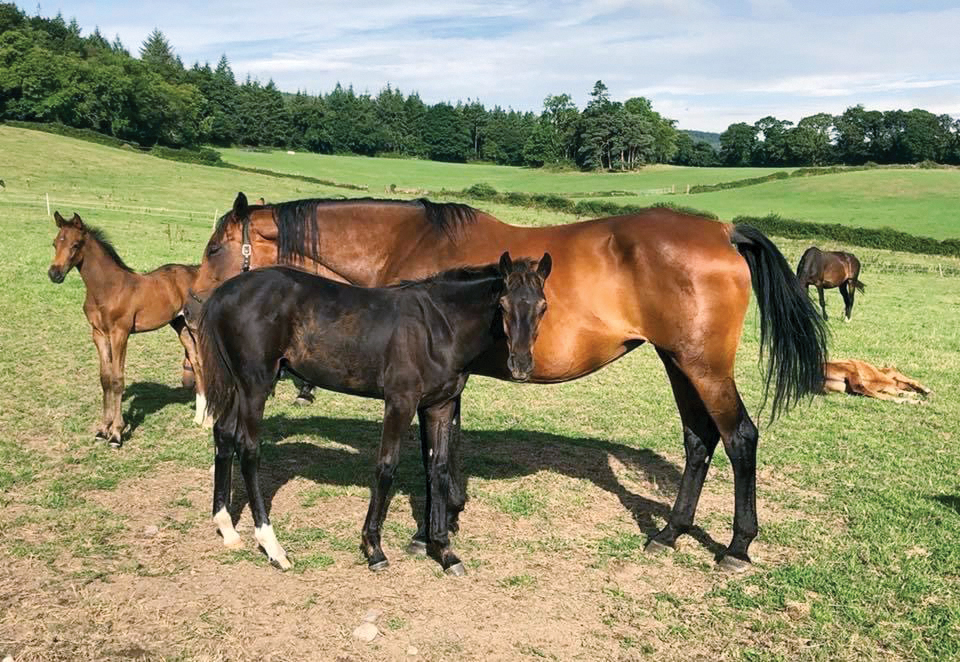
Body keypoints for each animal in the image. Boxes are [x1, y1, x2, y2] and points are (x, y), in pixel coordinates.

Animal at [48, 212, 207, 447]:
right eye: (54, 243)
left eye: (75, 245)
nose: (54, 274)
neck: (108, 288)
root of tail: (198, 271)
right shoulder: (98, 334)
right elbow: (105, 378)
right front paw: (102, 429)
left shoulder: (120, 334)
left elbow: (117, 380)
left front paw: (116, 434)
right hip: (180, 325)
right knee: (195, 360)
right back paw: (199, 416)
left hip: (195, 326)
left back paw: (209, 420)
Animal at [197, 254, 551, 574]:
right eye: (503, 305)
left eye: (542, 307)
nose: (521, 365)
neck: (439, 326)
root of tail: (223, 292)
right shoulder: (400, 401)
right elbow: (386, 466)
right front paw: (374, 548)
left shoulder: (440, 405)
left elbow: (438, 469)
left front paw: (444, 550)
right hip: (255, 385)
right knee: (248, 449)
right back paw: (273, 547)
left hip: (237, 385)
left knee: (224, 435)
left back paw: (227, 528)